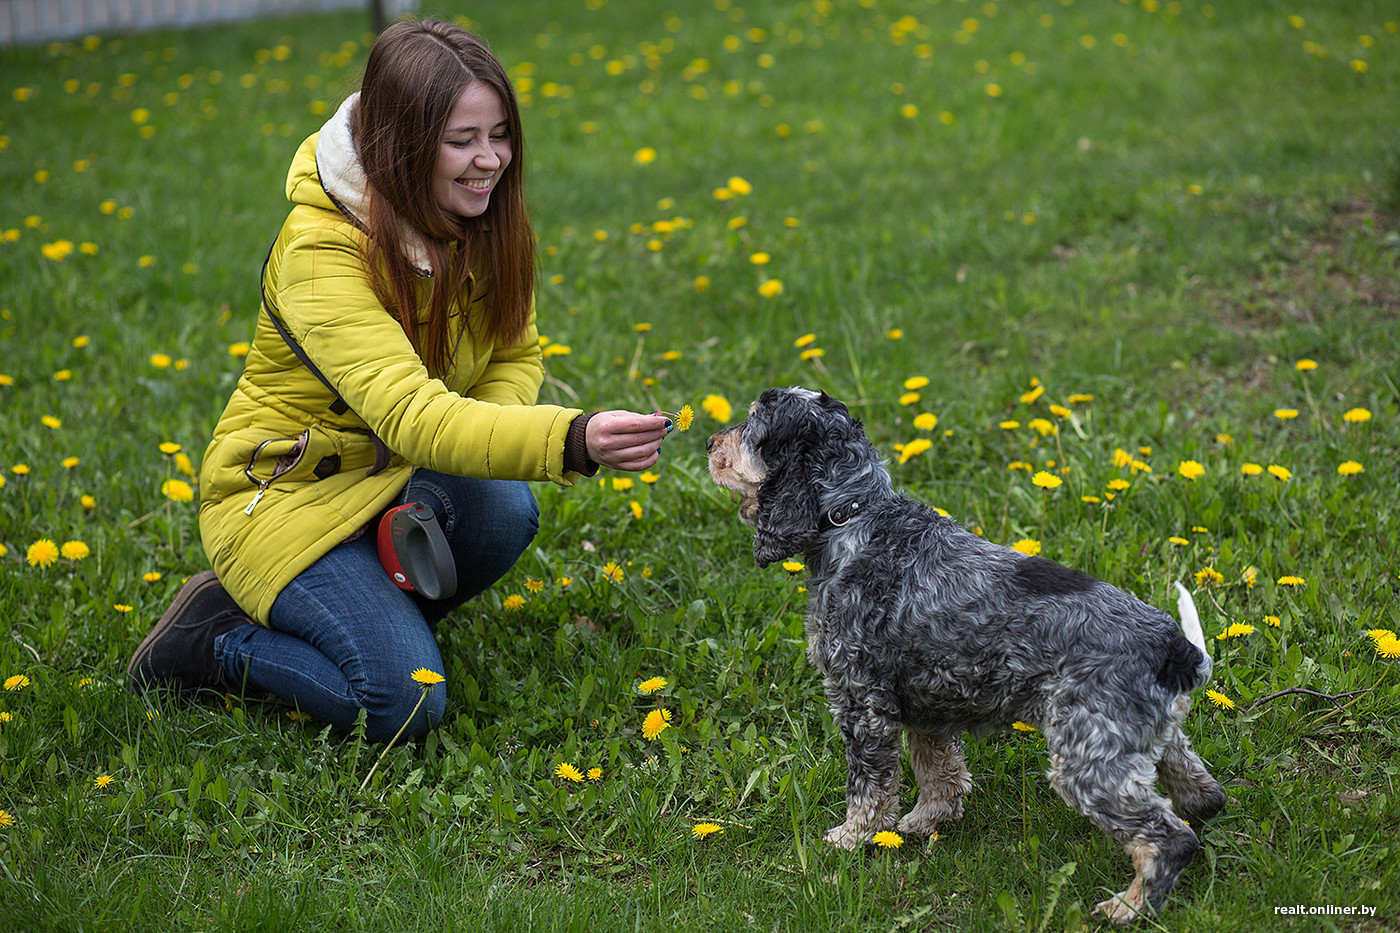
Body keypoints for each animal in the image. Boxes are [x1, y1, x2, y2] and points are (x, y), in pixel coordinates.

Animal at [705, 386, 1220, 924]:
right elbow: (940, 773)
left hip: (1089, 759)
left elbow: (868, 786)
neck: (858, 516)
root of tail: (1175, 649)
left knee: (1168, 838)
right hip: (1148, 741)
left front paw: (852, 838)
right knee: (1203, 793)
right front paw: (924, 821)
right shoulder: (923, 704)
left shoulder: (862, 701)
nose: (708, 442)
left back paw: (1129, 906)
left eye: (751, 423)